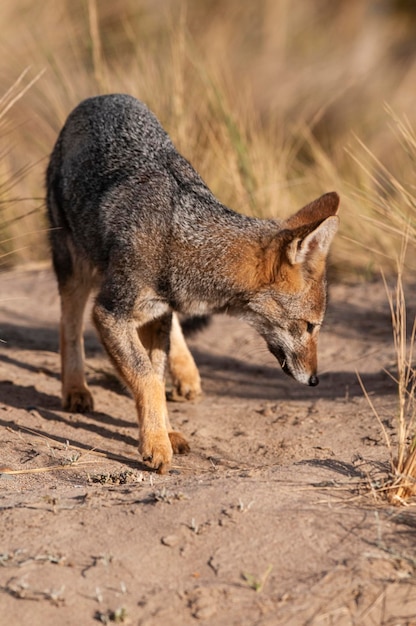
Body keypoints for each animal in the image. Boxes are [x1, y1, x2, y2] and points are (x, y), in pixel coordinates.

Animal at [45, 94, 340, 468]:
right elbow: (145, 376)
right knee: (68, 324)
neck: (185, 241)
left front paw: (165, 431)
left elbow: (155, 374)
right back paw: (75, 389)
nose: (315, 380)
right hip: (75, 268)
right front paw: (156, 443)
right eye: (310, 326)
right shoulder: (110, 312)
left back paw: (185, 372)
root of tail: (102, 97)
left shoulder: (157, 314)